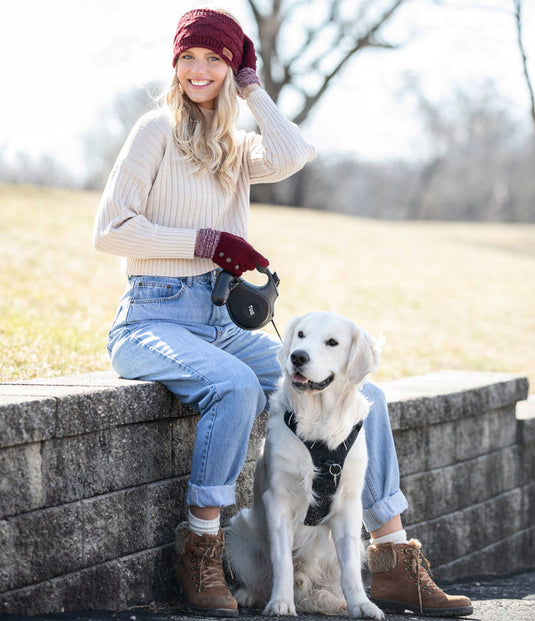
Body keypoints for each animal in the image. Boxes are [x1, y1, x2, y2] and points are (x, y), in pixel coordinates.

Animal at [225, 312, 386, 616]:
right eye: (300, 335)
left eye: (332, 342)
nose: (298, 356)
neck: (318, 419)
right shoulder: (278, 499)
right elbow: (282, 562)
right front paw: (280, 602)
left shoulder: (349, 504)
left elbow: (350, 569)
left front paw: (361, 604)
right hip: (240, 531)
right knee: (261, 576)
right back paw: (250, 594)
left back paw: (336, 598)